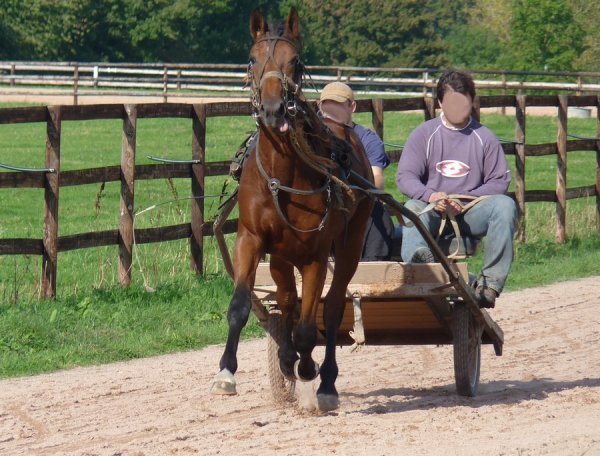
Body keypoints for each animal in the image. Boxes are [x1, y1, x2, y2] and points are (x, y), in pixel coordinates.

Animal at [209, 7, 372, 414]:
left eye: (295, 62)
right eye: (252, 59)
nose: (272, 108)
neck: (281, 175)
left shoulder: (316, 254)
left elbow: (309, 326)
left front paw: (309, 367)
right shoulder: (251, 240)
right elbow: (241, 306)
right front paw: (226, 373)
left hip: (349, 244)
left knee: (331, 308)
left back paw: (324, 379)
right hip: (282, 256)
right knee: (286, 300)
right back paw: (287, 357)